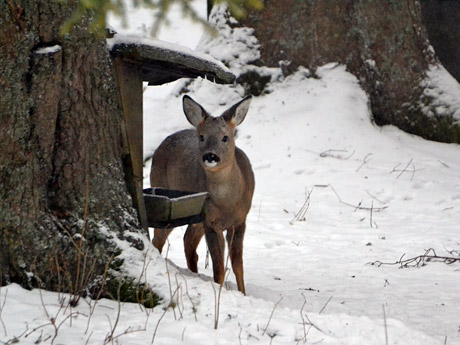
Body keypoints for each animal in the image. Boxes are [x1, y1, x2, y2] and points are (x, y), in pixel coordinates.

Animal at [149, 94, 253, 292]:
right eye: (202, 137)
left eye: (225, 137)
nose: (210, 156)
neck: (228, 203)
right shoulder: (210, 220)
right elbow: (219, 267)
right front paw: (220, 291)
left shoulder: (240, 219)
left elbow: (238, 264)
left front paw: (243, 293)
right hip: (165, 199)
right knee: (159, 240)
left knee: (187, 240)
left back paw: (194, 272)